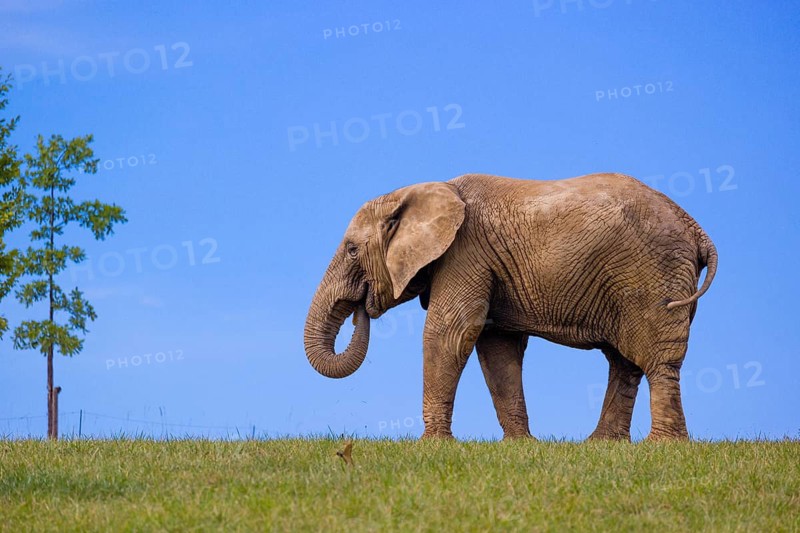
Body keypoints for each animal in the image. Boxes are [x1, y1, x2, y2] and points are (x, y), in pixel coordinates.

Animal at [303, 173, 717, 441]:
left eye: (351, 249)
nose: (362, 307)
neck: (425, 190)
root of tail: (696, 228)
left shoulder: (465, 252)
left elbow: (451, 331)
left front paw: (433, 444)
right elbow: (496, 345)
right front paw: (520, 445)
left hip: (652, 276)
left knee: (656, 359)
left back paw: (662, 445)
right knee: (624, 360)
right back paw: (603, 445)